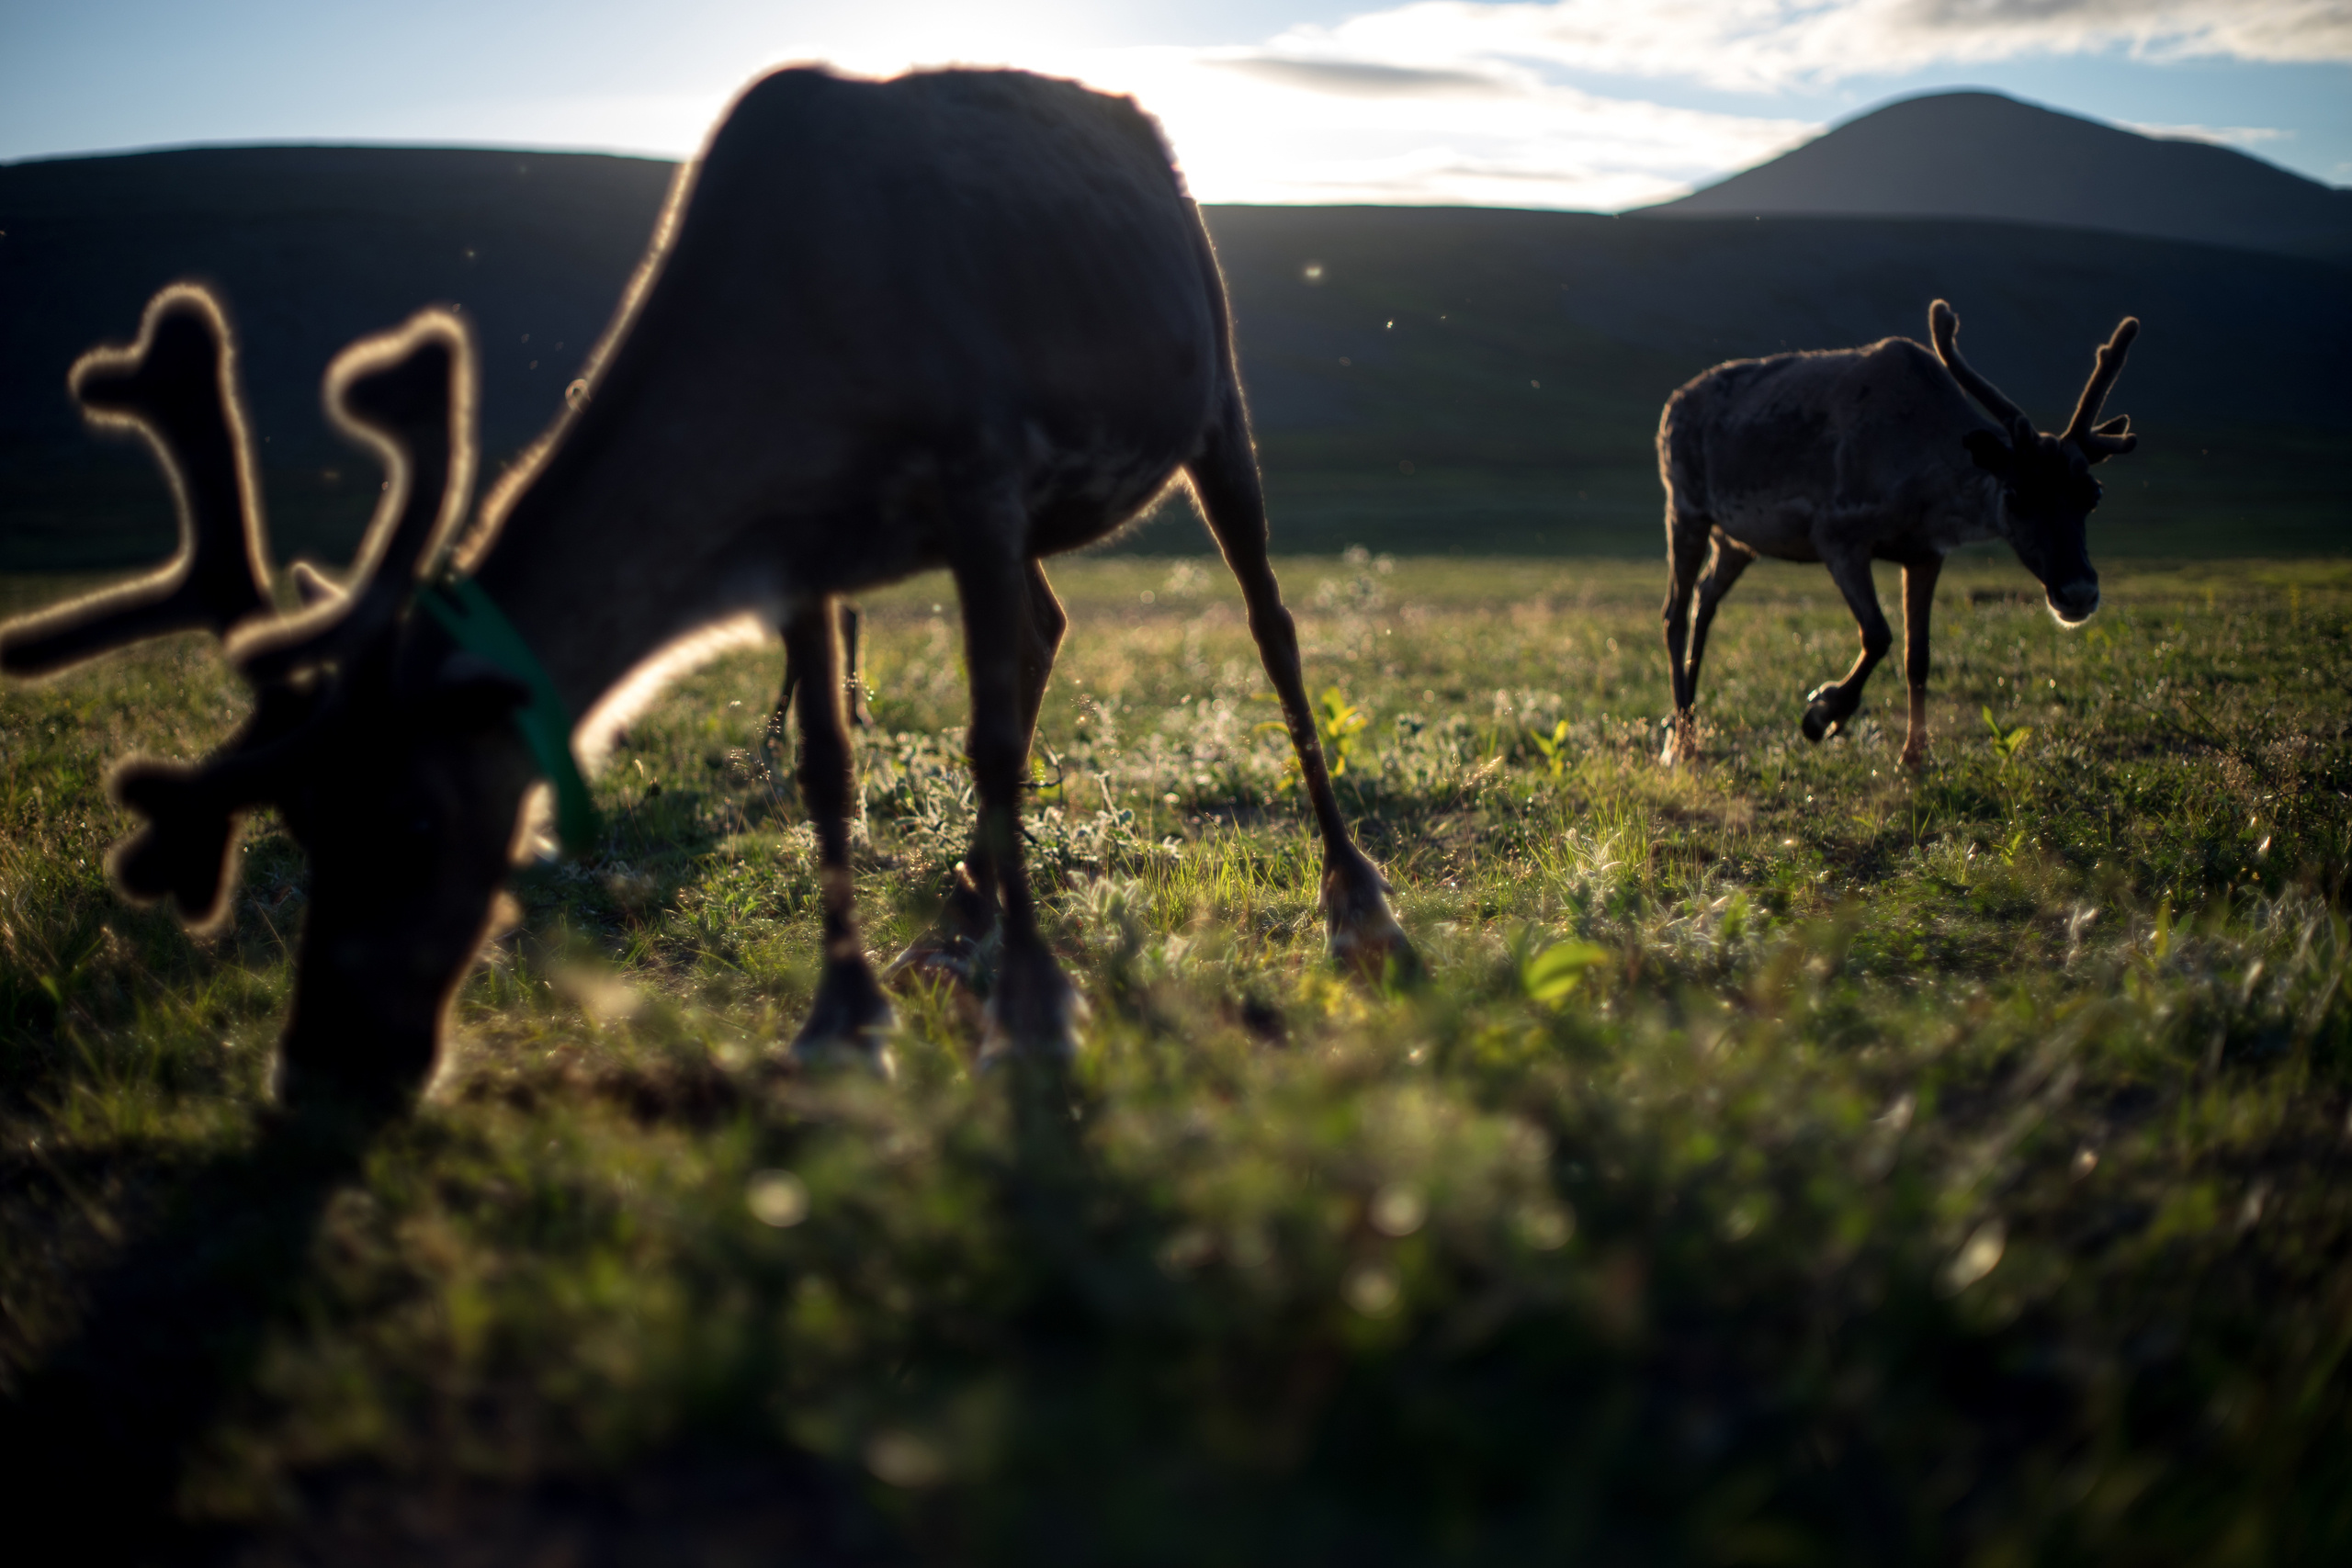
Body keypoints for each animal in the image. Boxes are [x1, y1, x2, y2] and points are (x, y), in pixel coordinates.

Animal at [0, 67, 1419, 1110]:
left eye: (412, 818)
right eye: (297, 823)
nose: (320, 1067)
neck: (783, 351)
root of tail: (1141, 126)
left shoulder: (980, 467)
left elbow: (990, 741)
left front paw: (1032, 1004)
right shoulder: (804, 551)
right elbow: (828, 770)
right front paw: (844, 1017)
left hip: (1210, 397)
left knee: (1270, 630)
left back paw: (1355, 904)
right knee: (1050, 623)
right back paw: (952, 917)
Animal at [1656, 298, 2139, 771]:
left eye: (2093, 494)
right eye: (2015, 493)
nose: (2078, 592)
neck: (1924, 482)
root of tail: (1672, 404)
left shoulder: (1925, 553)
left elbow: (1917, 656)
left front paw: (1914, 757)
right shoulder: (1837, 535)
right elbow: (1878, 635)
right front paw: (1822, 713)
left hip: (1737, 541)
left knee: (1705, 600)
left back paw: (1687, 727)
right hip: (1685, 508)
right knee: (1675, 613)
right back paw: (1681, 745)